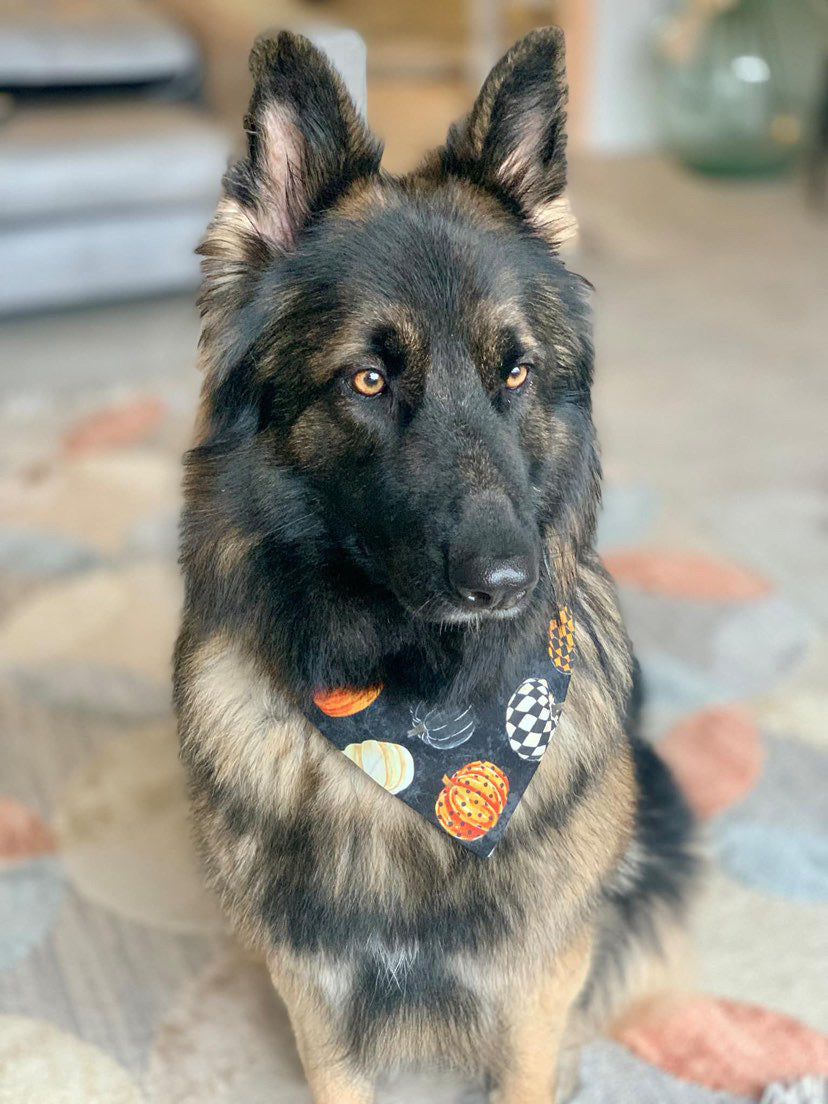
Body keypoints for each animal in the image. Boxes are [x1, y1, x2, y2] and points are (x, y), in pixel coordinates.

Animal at [176, 30, 702, 1104]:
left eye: (517, 371)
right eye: (370, 379)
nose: (506, 583)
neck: (423, 710)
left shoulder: (535, 988)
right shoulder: (316, 998)